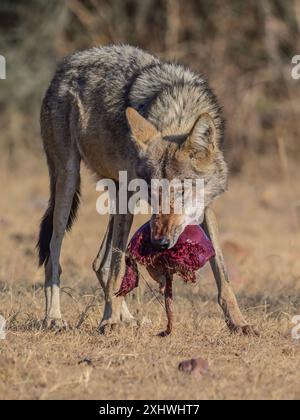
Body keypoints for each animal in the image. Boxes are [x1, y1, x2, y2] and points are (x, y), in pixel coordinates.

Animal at [37, 45, 256, 334]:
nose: (159, 242)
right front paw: (108, 320)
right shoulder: (130, 198)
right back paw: (55, 317)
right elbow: (119, 267)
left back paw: (127, 318)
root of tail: (66, 63)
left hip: (114, 193)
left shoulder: (204, 207)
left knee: (99, 263)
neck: (177, 114)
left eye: (181, 191)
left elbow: (223, 274)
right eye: (153, 193)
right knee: (55, 256)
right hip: (69, 183)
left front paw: (238, 322)